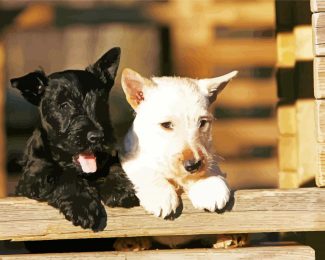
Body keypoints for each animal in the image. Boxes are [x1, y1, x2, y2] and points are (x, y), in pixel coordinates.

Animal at [10, 47, 139, 231]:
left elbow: (113, 165)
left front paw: (119, 187)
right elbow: (64, 177)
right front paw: (83, 206)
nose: (97, 137)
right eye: (64, 105)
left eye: (100, 103)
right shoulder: (34, 177)